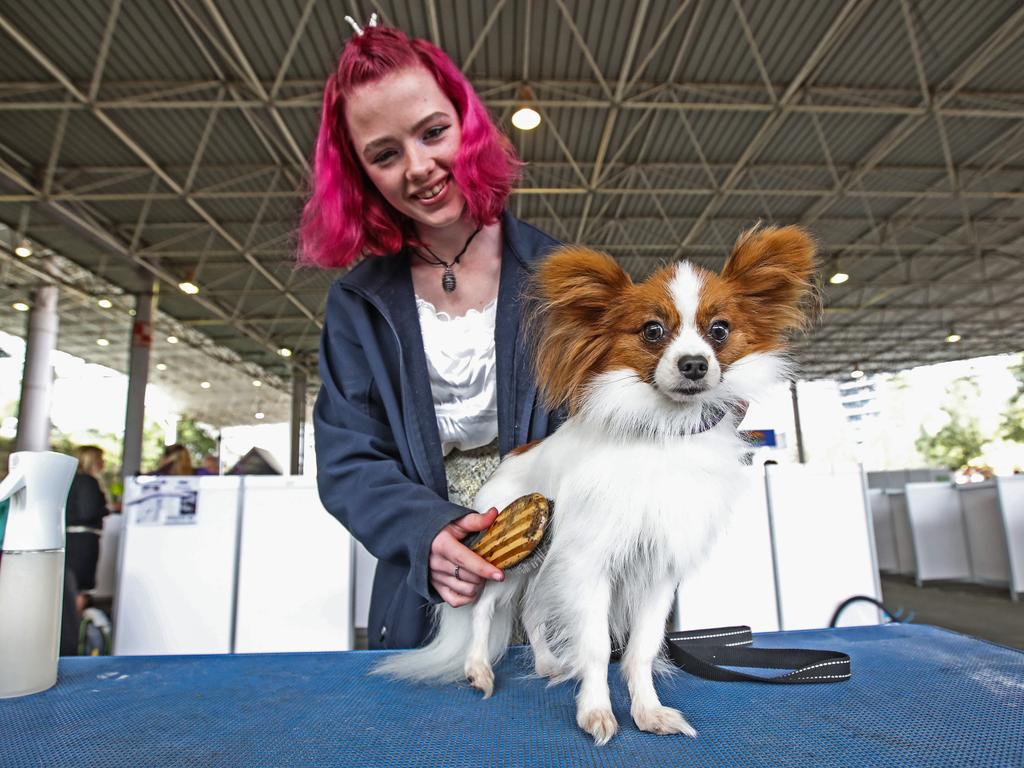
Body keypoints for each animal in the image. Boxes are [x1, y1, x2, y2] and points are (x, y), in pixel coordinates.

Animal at [376, 224, 815, 745]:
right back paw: (478, 669)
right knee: (486, 610)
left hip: (544, 563)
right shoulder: (590, 564)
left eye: (720, 331)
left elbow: (640, 648)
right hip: (513, 560)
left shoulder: (657, 573)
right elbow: (596, 644)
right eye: (653, 331)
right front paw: (595, 711)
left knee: (533, 614)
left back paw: (547, 663)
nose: (694, 364)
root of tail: (508, 462)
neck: (663, 434)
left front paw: (648, 712)